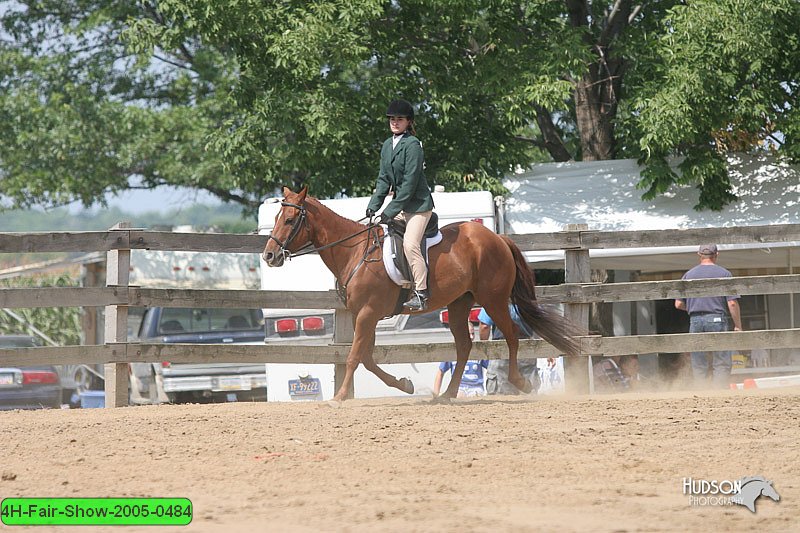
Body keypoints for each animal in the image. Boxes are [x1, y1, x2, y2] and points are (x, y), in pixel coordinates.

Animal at [262, 186, 580, 400]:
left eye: (289, 220)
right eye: (276, 217)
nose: (269, 255)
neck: (355, 252)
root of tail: (497, 238)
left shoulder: (367, 314)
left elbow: (354, 357)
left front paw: (338, 397)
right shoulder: (364, 316)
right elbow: (366, 357)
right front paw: (405, 384)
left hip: (494, 299)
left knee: (512, 335)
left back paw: (520, 383)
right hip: (459, 303)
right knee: (464, 346)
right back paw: (448, 394)